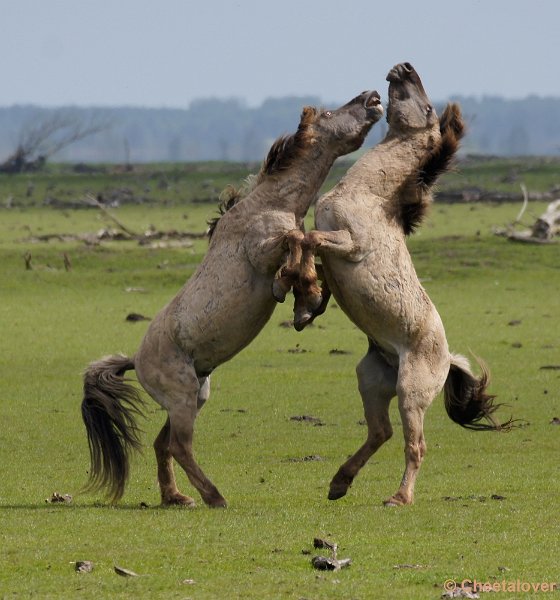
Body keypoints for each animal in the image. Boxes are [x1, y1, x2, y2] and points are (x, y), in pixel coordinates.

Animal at [81, 92, 382, 506]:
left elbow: (311, 255)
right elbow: (296, 242)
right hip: (183, 399)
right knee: (180, 447)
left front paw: (308, 301)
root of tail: (136, 361)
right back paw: (214, 497)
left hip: (195, 396)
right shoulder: (263, 250)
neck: (270, 203)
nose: (373, 97)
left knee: (163, 444)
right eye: (329, 112)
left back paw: (176, 497)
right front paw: (292, 293)